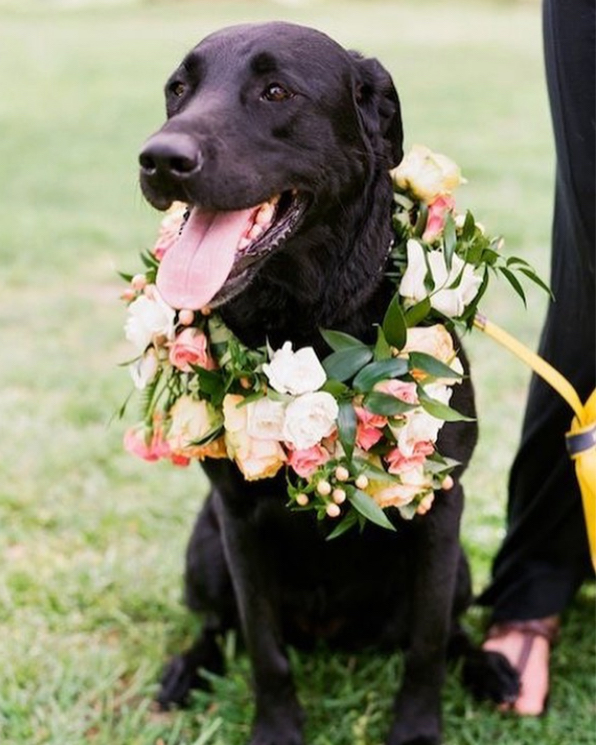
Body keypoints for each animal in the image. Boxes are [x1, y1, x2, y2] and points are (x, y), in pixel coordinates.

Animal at [137, 20, 516, 744]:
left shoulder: (439, 510)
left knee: (449, 627)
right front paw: (278, 729)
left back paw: (490, 667)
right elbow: (263, 646)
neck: (308, 326)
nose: (159, 159)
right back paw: (184, 670)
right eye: (177, 89)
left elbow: (427, 644)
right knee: (218, 626)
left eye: (276, 91)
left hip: (456, 566)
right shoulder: (236, 520)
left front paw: (417, 729)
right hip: (205, 546)